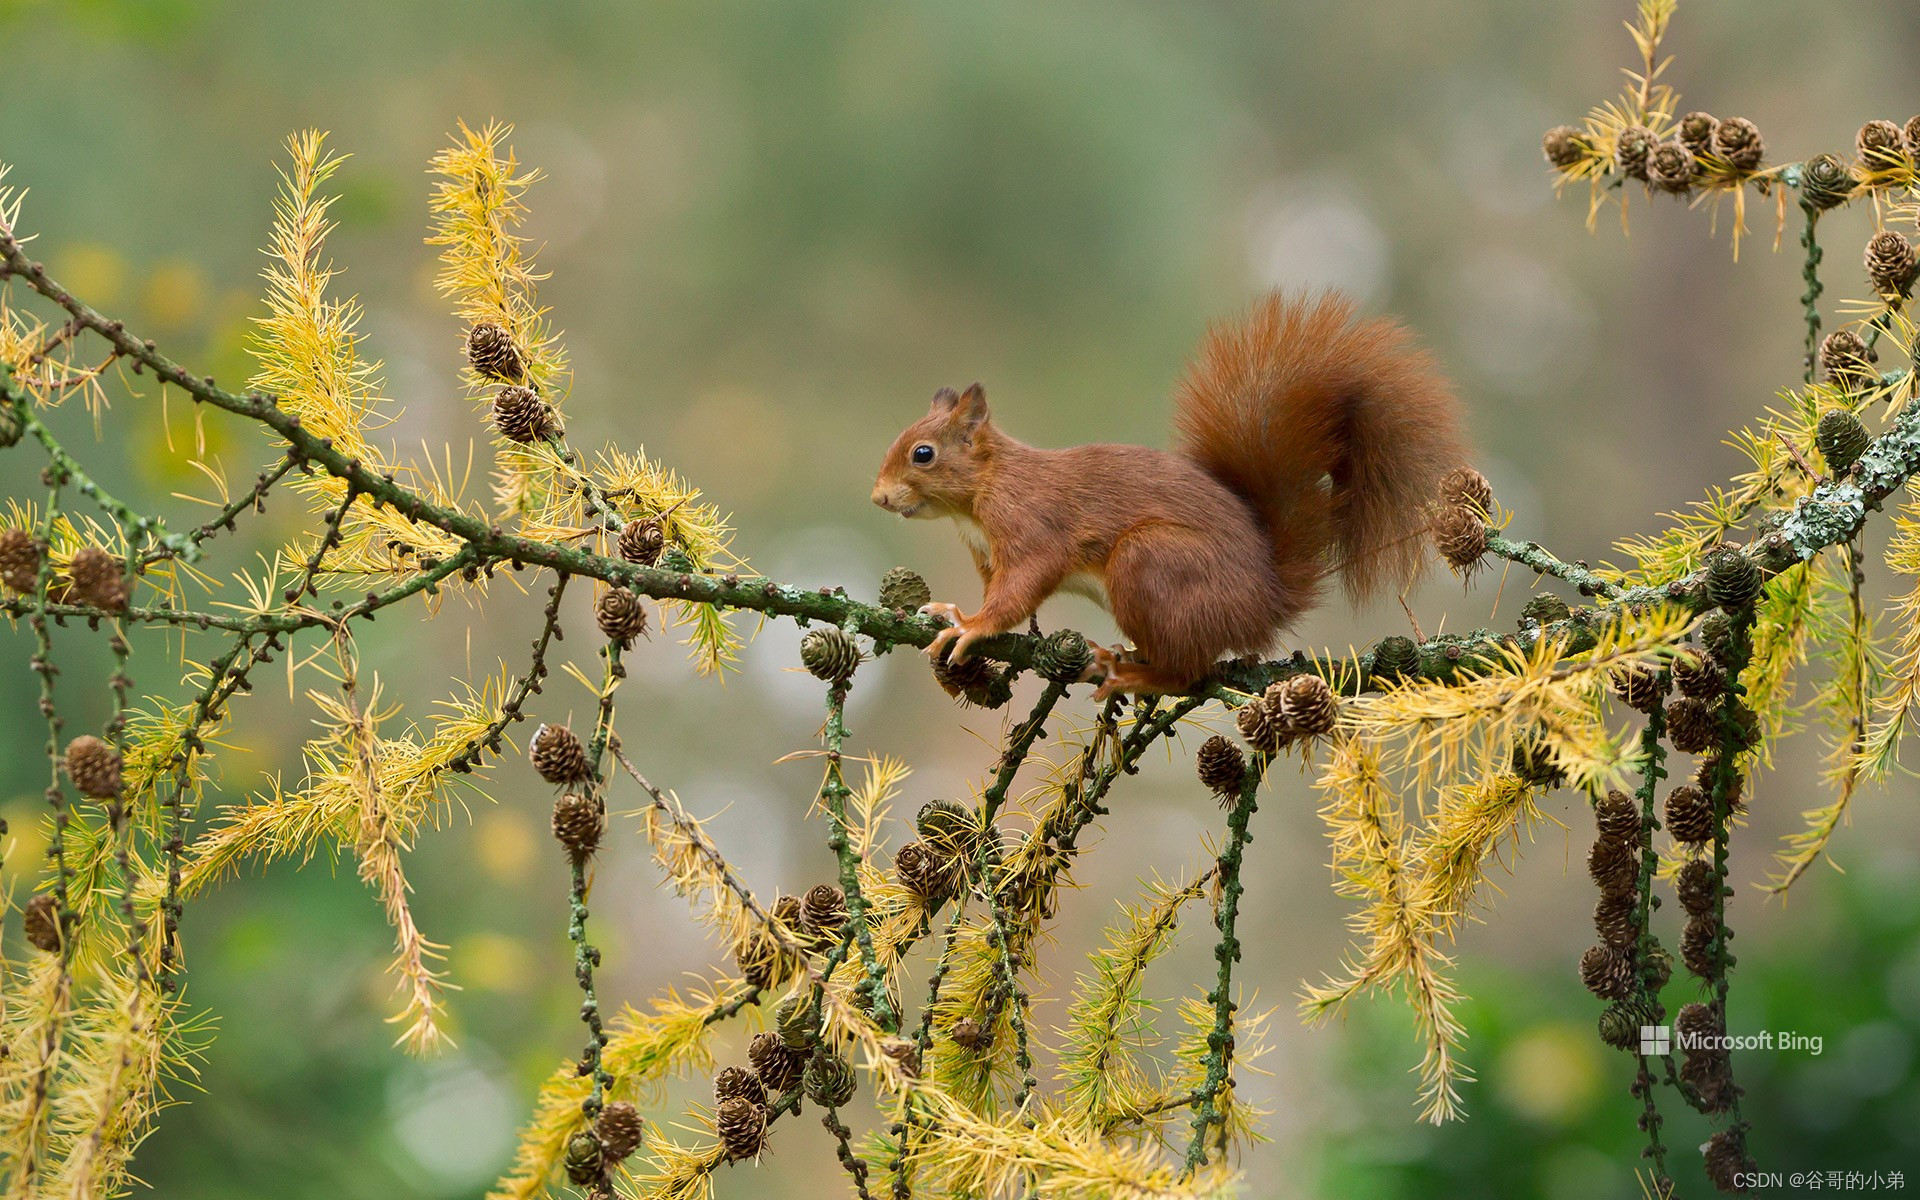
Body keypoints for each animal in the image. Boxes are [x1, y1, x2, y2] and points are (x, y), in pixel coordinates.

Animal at [871, 291, 1466, 698]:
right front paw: (955, 610)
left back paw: (1136, 674)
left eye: (923, 453)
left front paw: (971, 627)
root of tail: (1267, 603)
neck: (982, 493)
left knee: (1189, 673)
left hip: (1152, 562)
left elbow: (1021, 589)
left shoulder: (1031, 525)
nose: (878, 499)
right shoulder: (985, 552)